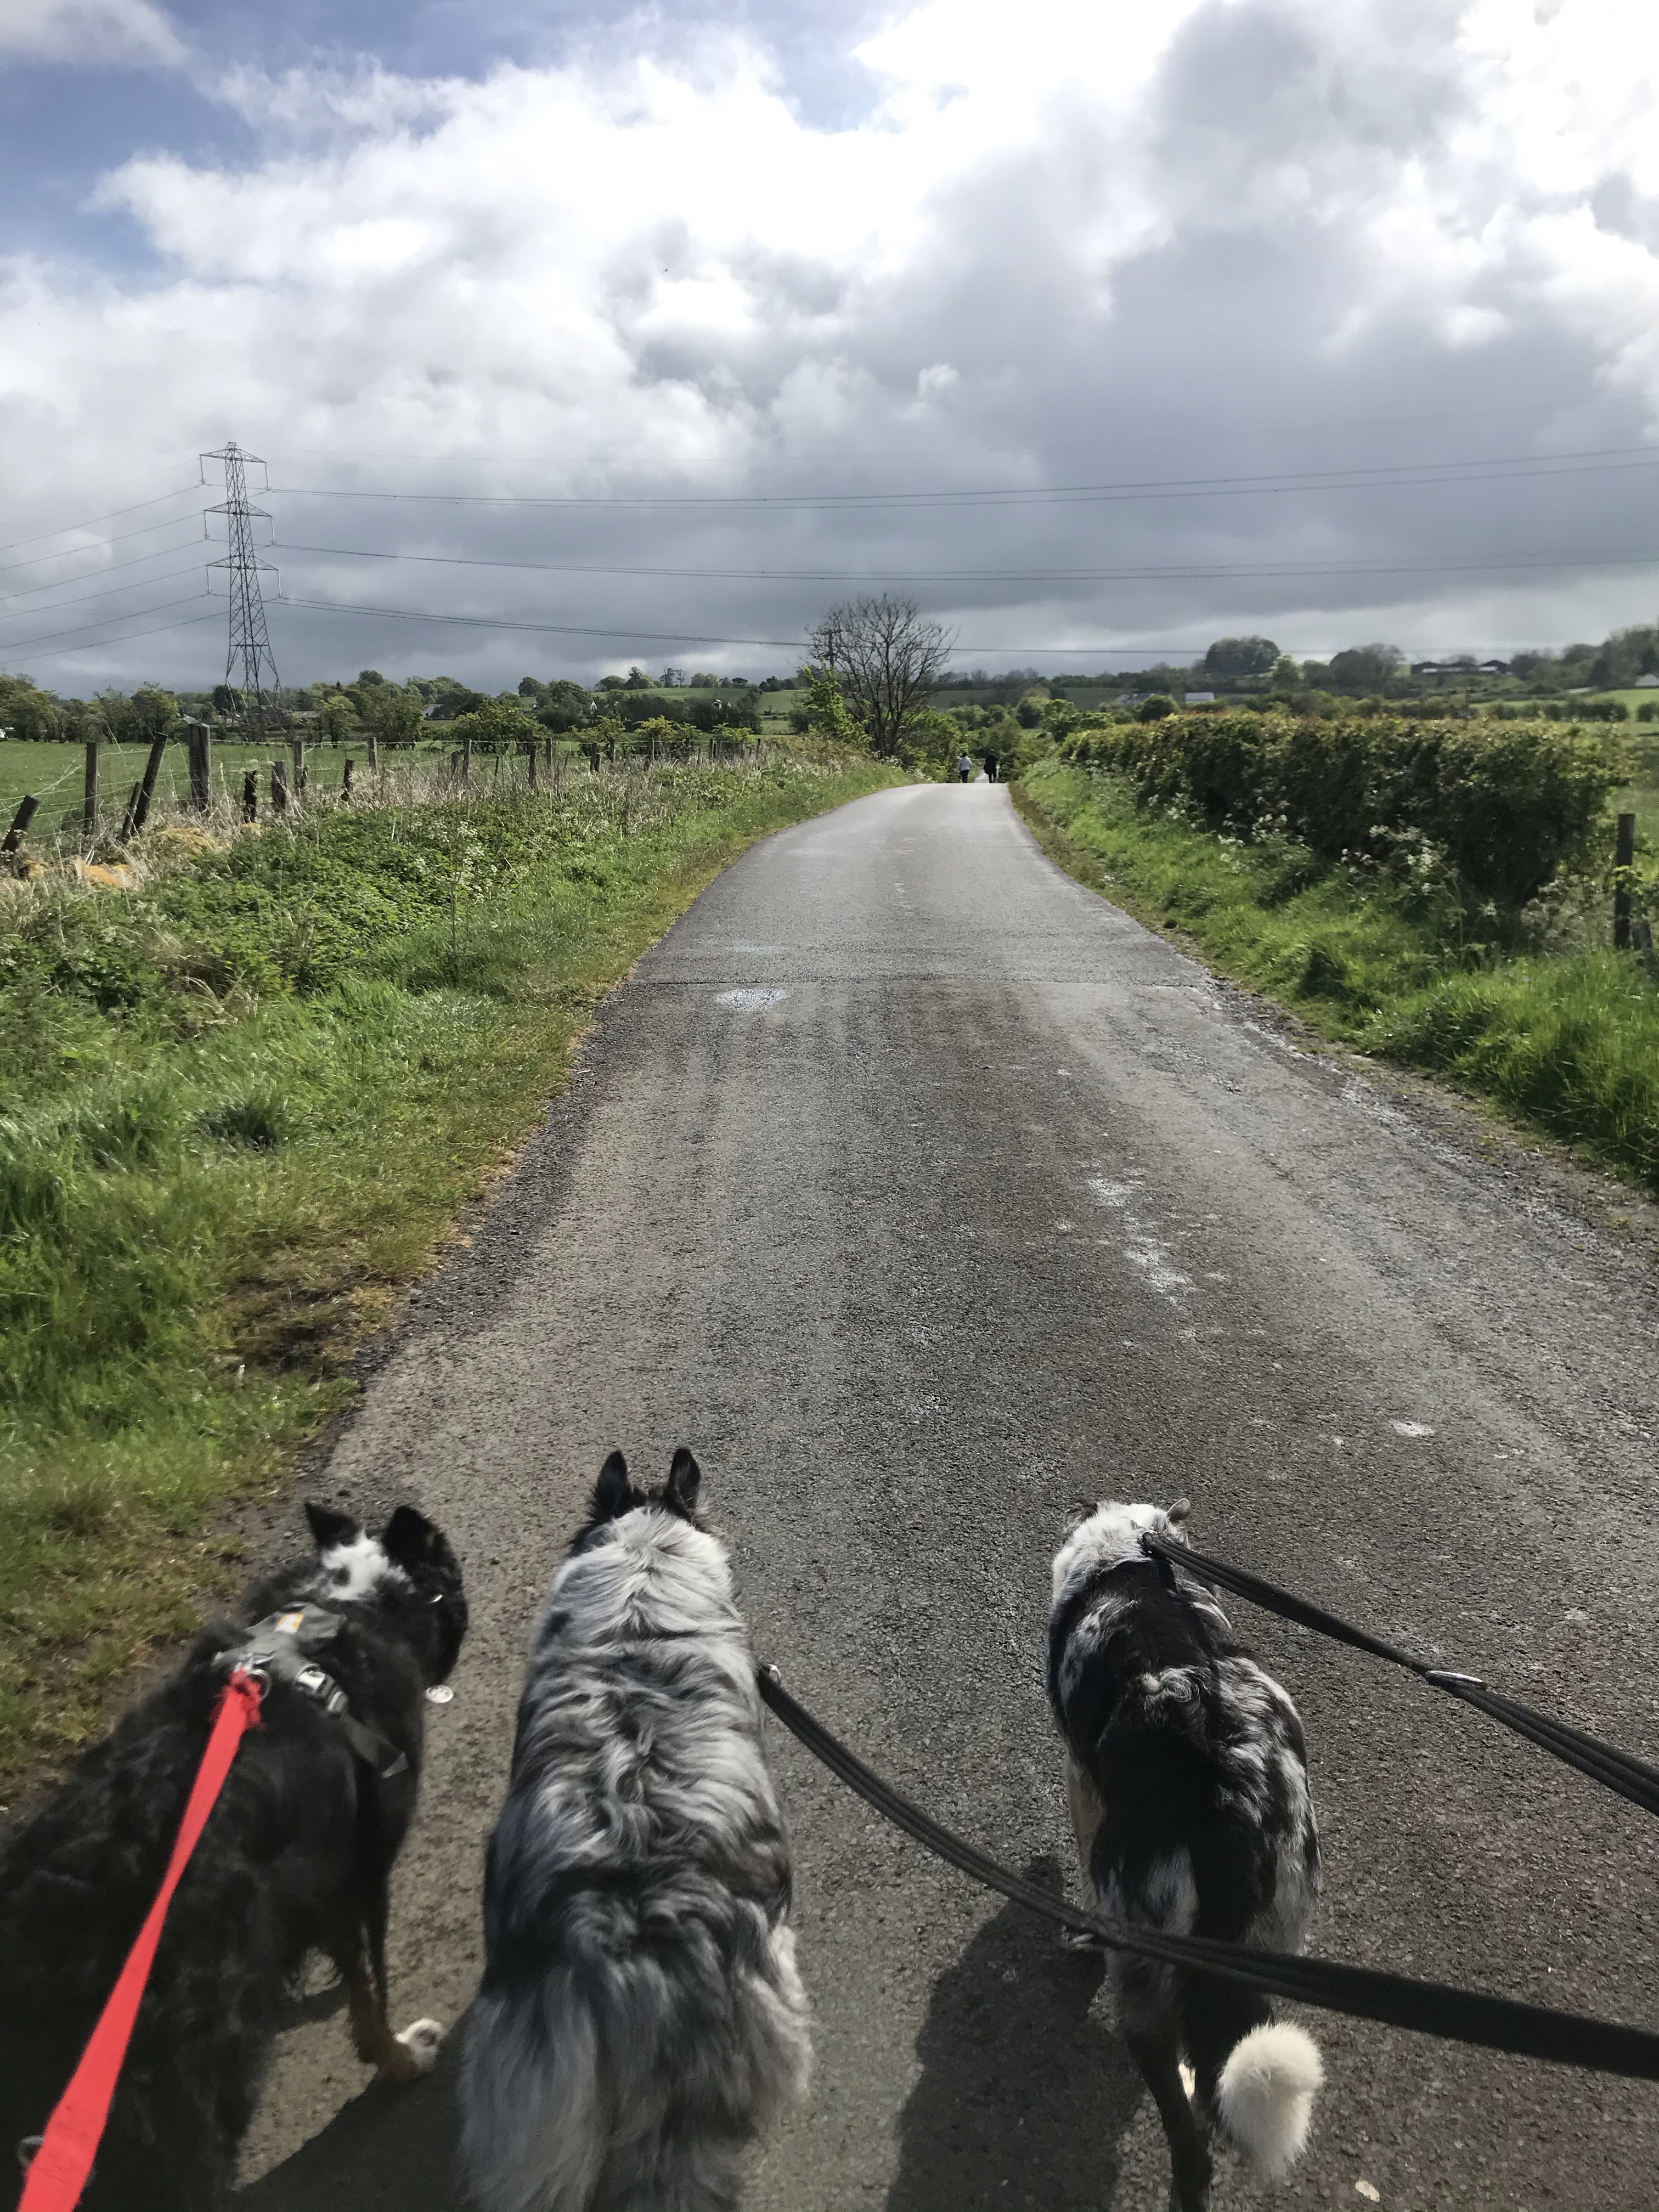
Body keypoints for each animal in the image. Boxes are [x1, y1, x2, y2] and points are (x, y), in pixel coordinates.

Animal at [1047, 1498, 1322, 2211]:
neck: (1132, 1558)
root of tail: (1225, 1794)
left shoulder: (1080, 1780)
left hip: (1142, 1940)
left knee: (1176, 2108)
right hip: (1272, 1932)